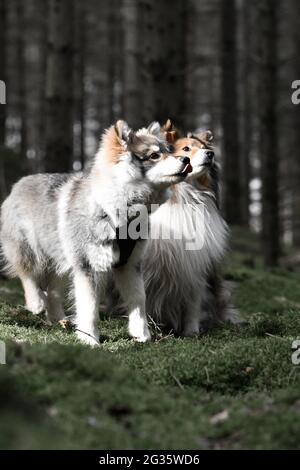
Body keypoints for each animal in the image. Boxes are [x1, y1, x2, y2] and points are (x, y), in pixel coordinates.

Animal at [0, 119, 192, 344]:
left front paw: (142, 334)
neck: (118, 210)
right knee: (28, 274)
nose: (186, 158)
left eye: (168, 151)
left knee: (53, 290)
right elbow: (90, 307)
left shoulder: (129, 264)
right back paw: (35, 303)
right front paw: (90, 338)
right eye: (154, 155)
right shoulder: (89, 267)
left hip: (61, 261)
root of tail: (18, 185)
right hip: (30, 250)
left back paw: (58, 318)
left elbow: (138, 299)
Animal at [144, 120, 241, 334]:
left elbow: (193, 302)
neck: (184, 196)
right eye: (186, 149)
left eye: (204, 147)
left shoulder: (196, 266)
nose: (211, 154)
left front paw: (192, 331)